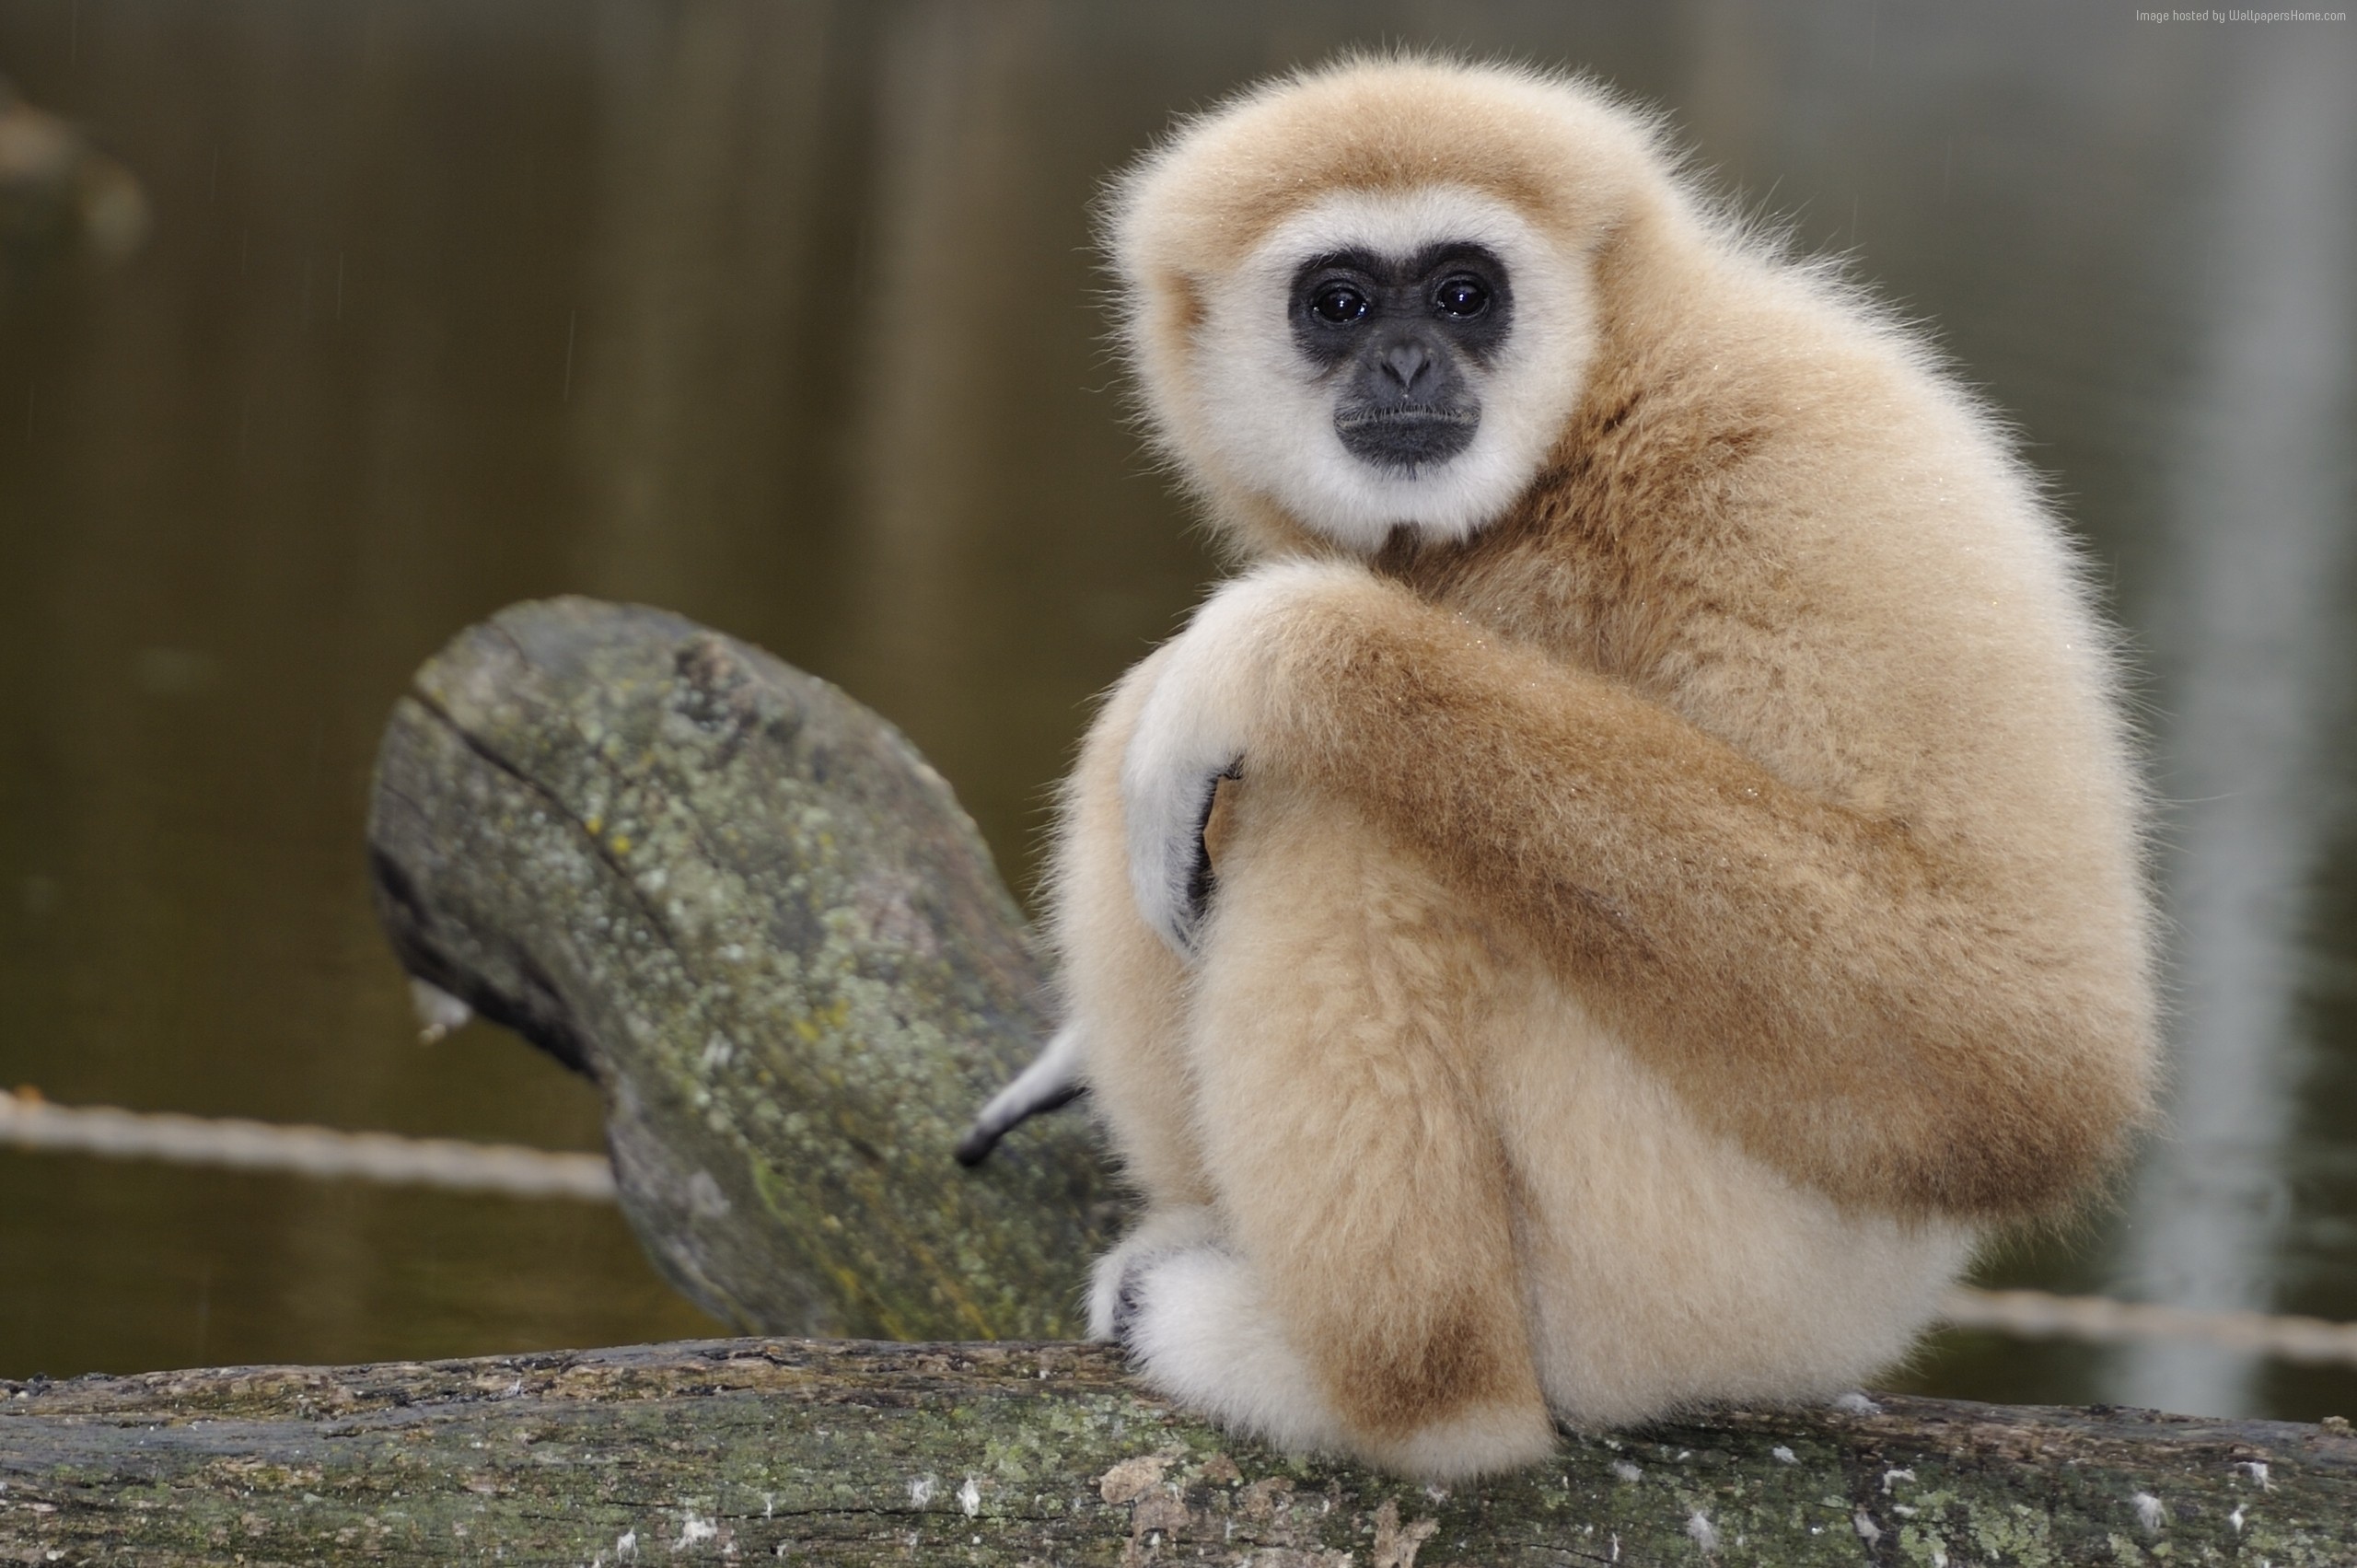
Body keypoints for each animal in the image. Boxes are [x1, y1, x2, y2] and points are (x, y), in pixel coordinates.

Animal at [965, 56, 2158, 1480]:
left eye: (1465, 294)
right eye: (1340, 302)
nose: (1406, 357)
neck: (1584, 431)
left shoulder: (1804, 466)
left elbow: (2019, 1046)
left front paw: (1280, 648)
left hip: (1689, 1269)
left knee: (1332, 814)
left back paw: (1403, 1400)